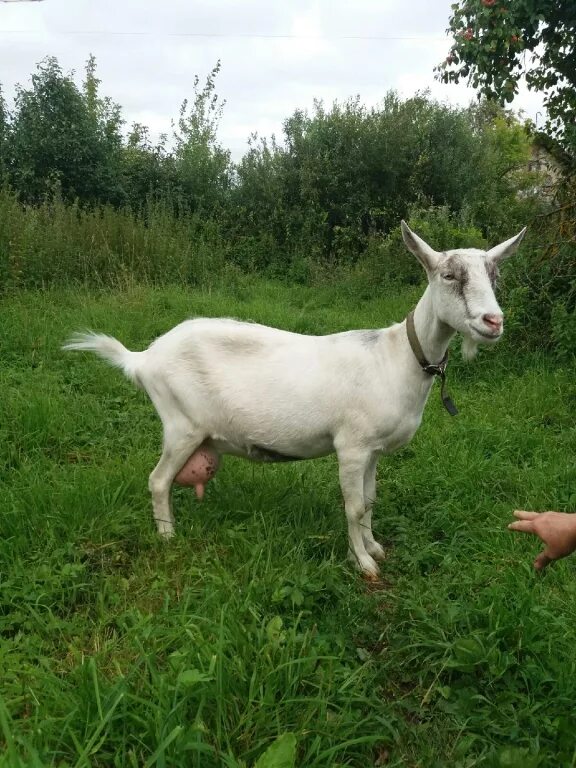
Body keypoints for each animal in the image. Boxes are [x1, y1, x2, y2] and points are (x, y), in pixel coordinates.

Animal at [64, 222, 528, 576]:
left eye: (495, 276)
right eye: (449, 276)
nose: (493, 321)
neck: (396, 356)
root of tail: (143, 359)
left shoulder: (373, 450)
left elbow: (370, 501)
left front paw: (374, 547)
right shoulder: (351, 446)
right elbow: (353, 507)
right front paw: (363, 564)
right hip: (181, 425)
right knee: (158, 480)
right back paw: (167, 536)